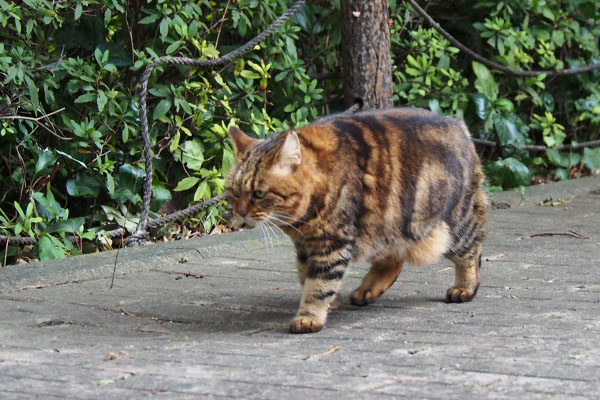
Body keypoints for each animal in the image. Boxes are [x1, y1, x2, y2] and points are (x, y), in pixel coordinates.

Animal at [225, 107, 488, 334]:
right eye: (234, 192)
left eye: (259, 193)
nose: (240, 211)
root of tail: (458, 124)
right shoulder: (305, 247)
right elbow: (306, 276)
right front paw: (331, 301)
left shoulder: (332, 242)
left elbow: (319, 286)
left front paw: (309, 317)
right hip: (390, 227)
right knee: (393, 261)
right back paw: (367, 291)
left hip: (454, 225)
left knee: (472, 252)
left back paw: (465, 288)